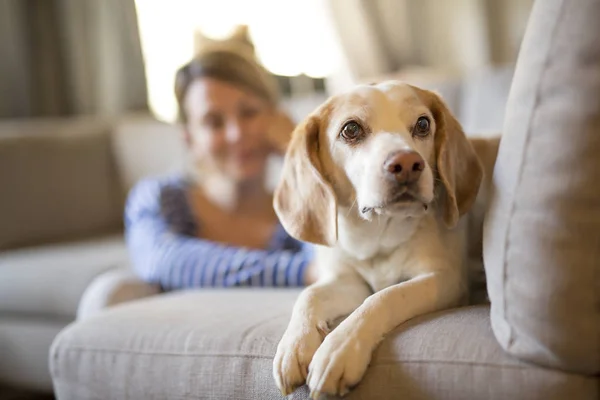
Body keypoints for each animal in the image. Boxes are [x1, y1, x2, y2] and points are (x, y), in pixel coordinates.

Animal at [274, 80, 502, 396]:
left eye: (423, 124)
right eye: (351, 129)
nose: (407, 163)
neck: (378, 236)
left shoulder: (445, 280)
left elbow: (385, 296)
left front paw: (340, 348)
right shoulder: (350, 282)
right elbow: (309, 295)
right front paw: (294, 343)